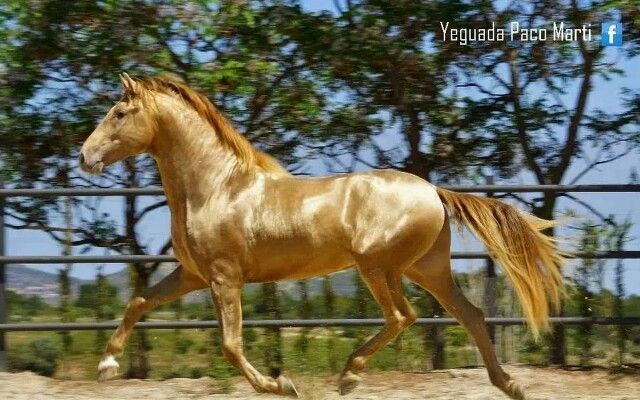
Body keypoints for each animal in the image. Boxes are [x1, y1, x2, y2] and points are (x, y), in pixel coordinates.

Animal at [81, 73, 564, 398]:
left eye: (119, 113)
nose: (85, 157)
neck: (216, 187)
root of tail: (433, 191)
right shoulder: (192, 275)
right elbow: (139, 301)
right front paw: (106, 365)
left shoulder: (223, 278)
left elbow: (230, 345)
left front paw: (281, 384)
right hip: (427, 269)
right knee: (471, 316)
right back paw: (509, 385)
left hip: (379, 267)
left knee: (402, 316)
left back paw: (349, 375)